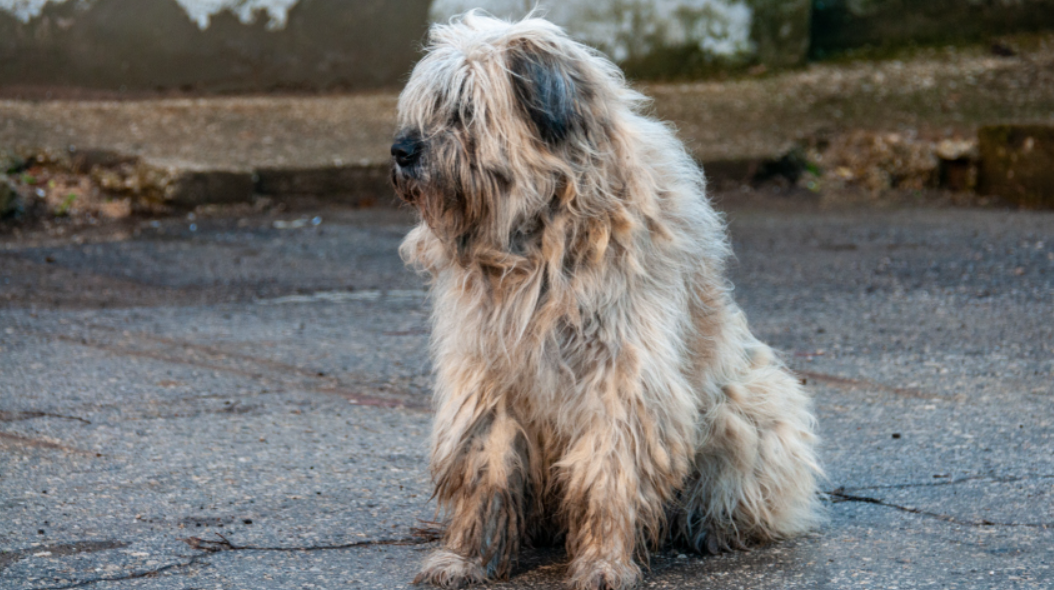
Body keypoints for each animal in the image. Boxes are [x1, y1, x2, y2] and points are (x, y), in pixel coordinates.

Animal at [389, 13, 822, 590]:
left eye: (463, 110)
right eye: (424, 107)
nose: (401, 151)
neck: (539, 232)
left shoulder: (623, 377)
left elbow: (610, 473)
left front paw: (603, 561)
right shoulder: (486, 375)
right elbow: (485, 464)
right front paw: (465, 556)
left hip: (750, 404)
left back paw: (713, 527)